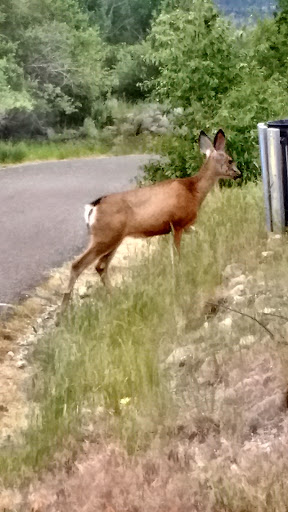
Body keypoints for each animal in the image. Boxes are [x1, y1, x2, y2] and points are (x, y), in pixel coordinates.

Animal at [58, 130, 241, 314]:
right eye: (230, 159)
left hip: (114, 239)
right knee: (77, 265)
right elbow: (177, 254)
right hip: (105, 236)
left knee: (100, 266)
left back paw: (115, 297)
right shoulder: (177, 223)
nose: (238, 173)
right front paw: (179, 276)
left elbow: (200, 235)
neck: (193, 191)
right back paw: (63, 311)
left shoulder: (185, 225)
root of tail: (93, 207)